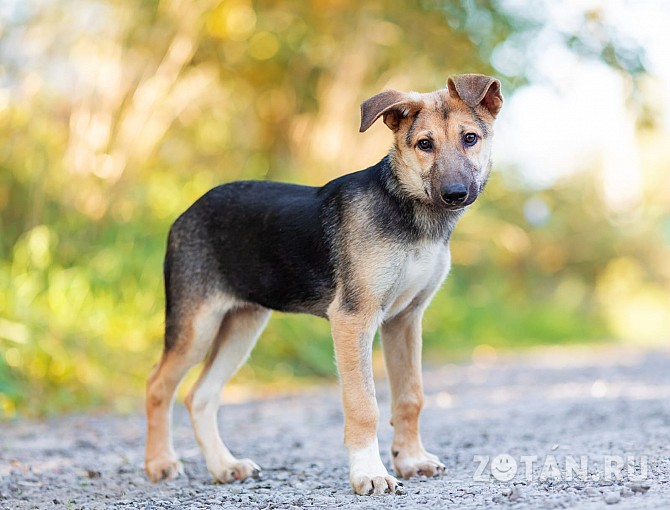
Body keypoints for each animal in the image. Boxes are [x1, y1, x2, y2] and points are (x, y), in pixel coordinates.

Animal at [147, 72, 504, 494]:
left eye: (470, 138)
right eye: (424, 144)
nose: (455, 194)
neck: (411, 213)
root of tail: (184, 213)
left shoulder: (405, 319)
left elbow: (410, 396)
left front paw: (411, 460)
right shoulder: (354, 317)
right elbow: (363, 404)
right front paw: (369, 472)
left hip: (242, 325)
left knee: (200, 396)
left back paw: (225, 466)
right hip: (196, 325)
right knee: (158, 386)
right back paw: (160, 463)